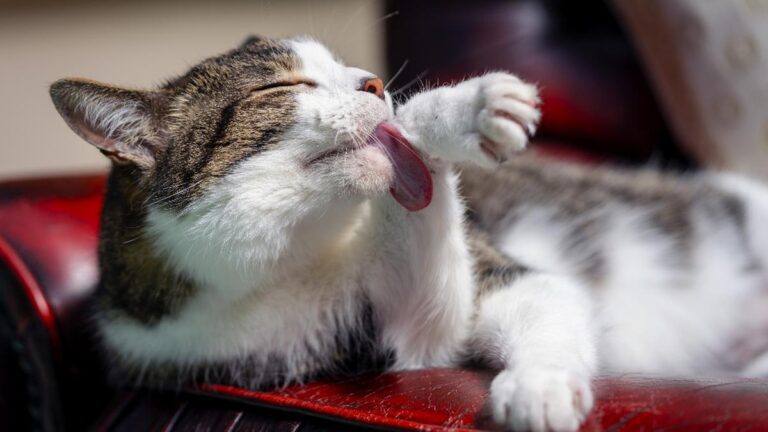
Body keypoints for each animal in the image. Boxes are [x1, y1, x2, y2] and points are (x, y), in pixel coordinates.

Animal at [48, 37, 768, 432]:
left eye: (346, 68)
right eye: (283, 83)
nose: (372, 81)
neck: (278, 265)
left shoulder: (491, 267)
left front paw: (459, 109)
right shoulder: (399, 337)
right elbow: (437, 314)